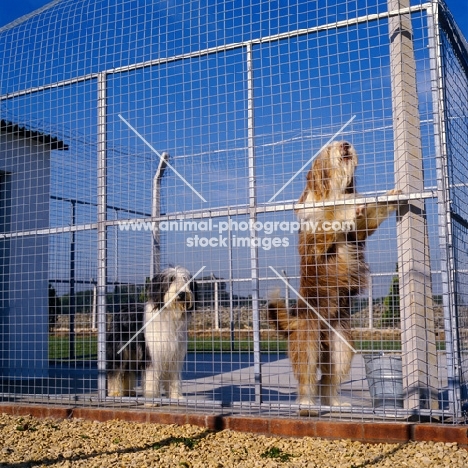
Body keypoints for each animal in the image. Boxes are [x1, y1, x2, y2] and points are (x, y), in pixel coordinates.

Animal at [268, 141, 400, 408]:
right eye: (330, 148)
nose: (345, 144)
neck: (334, 190)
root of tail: (296, 319)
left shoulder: (359, 232)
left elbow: (369, 216)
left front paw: (389, 197)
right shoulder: (315, 241)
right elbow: (332, 218)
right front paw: (345, 209)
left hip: (341, 348)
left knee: (328, 379)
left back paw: (335, 403)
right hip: (309, 346)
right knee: (307, 378)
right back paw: (306, 403)